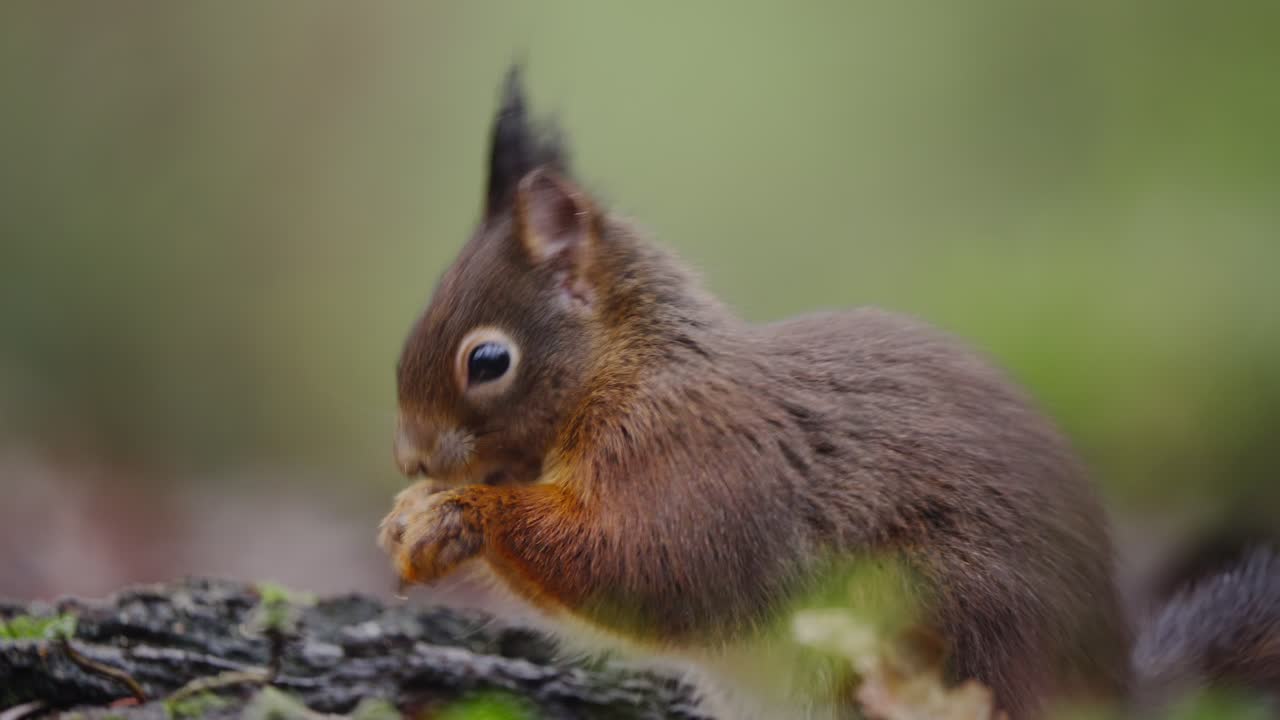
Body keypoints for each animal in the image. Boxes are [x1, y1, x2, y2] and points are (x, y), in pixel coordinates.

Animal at [377, 67, 1275, 719]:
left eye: (488, 360)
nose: (411, 458)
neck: (629, 373)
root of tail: (1109, 692)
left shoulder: (703, 460)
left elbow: (645, 563)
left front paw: (459, 514)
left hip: (950, 632)